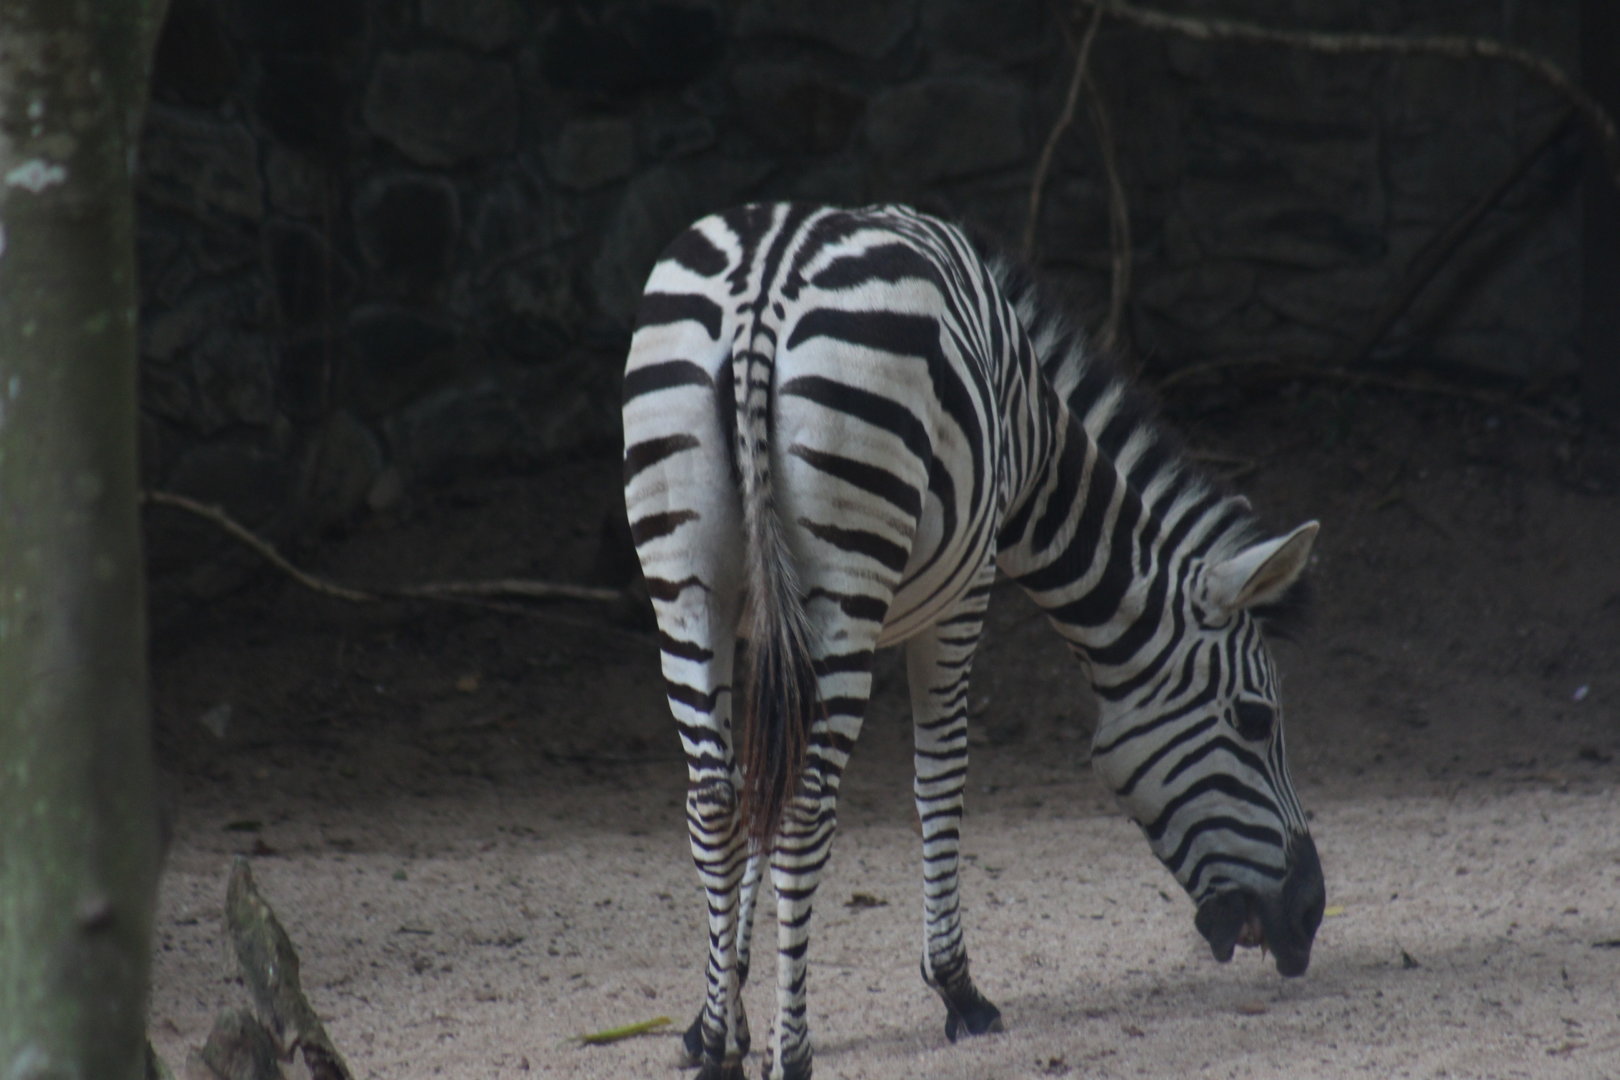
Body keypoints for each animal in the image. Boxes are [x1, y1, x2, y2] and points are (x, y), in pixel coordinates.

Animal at [622, 202, 1325, 1080]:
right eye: (1256, 720)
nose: (1311, 914)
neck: (1036, 436)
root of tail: (764, 286)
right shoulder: (967, 588)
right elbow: (940, 777)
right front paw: (957, 990)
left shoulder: (757, 629)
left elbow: (758, 788)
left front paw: (721, 1011)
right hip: (843, 582)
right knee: (808, 808)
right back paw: (797, 1051)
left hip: (686, 581)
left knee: (717, 800)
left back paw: (718, 1050)